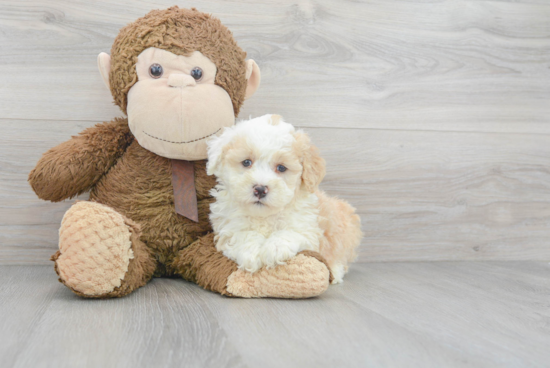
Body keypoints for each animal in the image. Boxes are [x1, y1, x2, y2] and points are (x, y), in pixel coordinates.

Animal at [206, 113, 362, 284]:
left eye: (281, 168)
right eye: (246, 162)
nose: (260, 189)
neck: (264, 216)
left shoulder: (308, 228)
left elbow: (290, 232)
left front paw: (274, 248)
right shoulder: (228, 228)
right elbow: (242, 235)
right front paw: (252, 252)